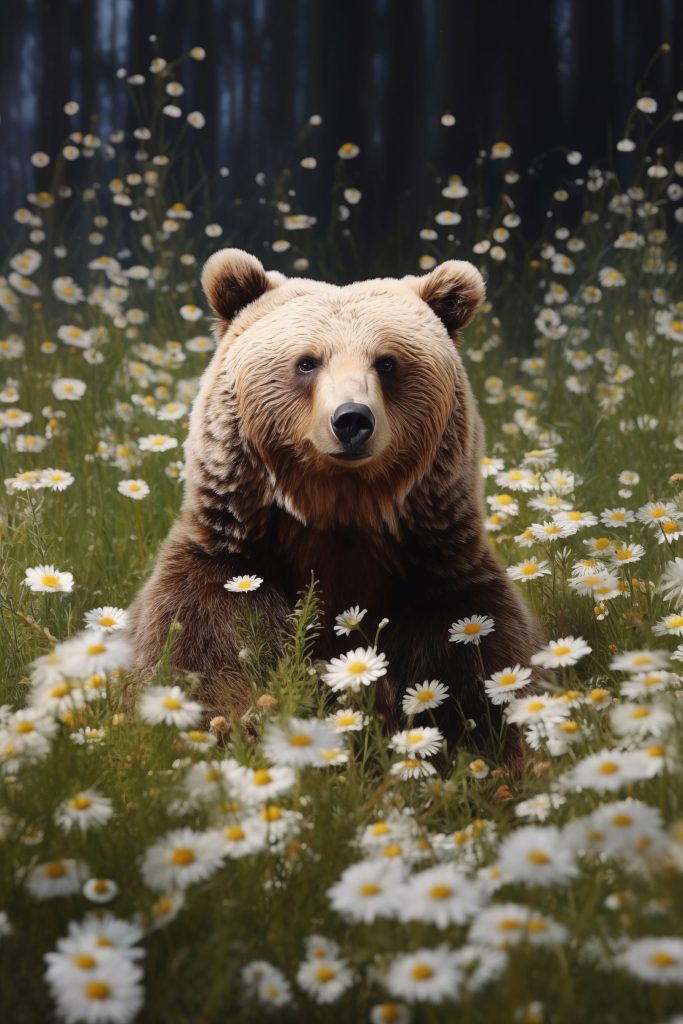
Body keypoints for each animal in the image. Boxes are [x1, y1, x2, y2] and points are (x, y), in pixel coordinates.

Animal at [128, 248, 544, 764]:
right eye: (307, 362)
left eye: (386, 362)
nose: (351, 420)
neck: (338, 516)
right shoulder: (226, 576)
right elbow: (203, 669)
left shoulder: (442, 590)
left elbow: (488, 682)